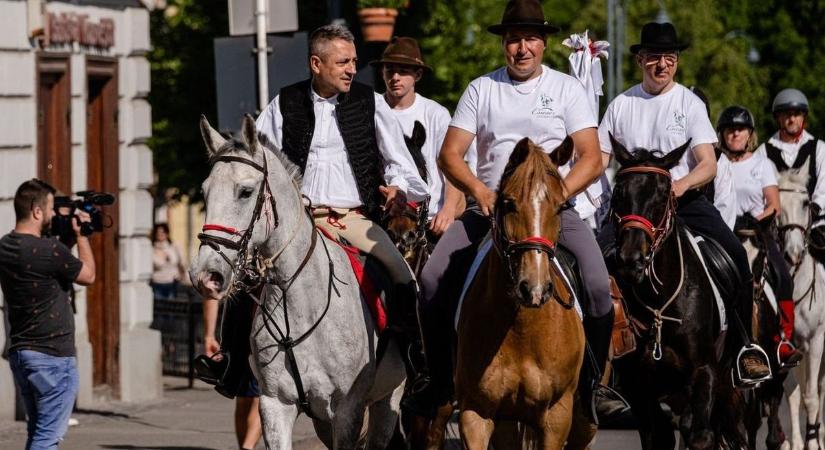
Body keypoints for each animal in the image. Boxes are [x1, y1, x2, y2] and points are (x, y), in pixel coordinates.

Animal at [187, 114, 406, 448]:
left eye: (245, 192)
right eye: (205, 192)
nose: (205, 275)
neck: (301, 305)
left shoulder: (347, 410)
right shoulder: (275, 405)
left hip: (388, 400)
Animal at [450, 138, 592, 450]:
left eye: (561, 207)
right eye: (508, 203)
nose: (534, 288)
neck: (522, 329)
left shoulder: (557, 416)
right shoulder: (475, 413)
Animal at [604, 135, 748, 448]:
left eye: (662, 197)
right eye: (619, 193)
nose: (631, 259)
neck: (660, 303)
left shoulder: (704, 371)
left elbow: (700, 436)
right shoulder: (639, 388)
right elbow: (659, 435)